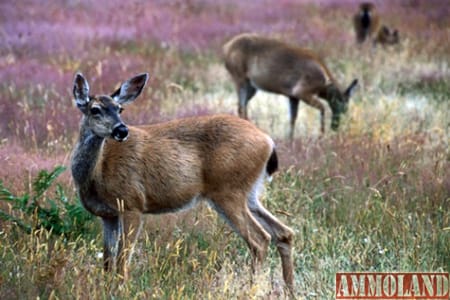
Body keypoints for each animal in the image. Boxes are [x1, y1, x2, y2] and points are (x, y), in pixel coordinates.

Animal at [70, 72, 296, 292]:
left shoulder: (131, 203)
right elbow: (108, 262)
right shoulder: (107, 215)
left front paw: (121, 290)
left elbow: (122, 260)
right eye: (95, 110)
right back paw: (288, 289)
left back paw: (251, 288)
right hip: (249, 194)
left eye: (120, 109)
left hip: (228, 191)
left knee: (260, 240)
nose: (122, 130)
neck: (97, 173)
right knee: (284, 233)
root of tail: (268, 142)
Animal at [222, 33, 358, 139]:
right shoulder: (301, 90)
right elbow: (322, 108)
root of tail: (225, 48)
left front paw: (290, 139)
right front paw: (321, 135)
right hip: (239, 77)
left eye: (345, 109)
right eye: (342, 106)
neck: (322, 85)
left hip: (251, 86)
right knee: (241, 107)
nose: (335, 126)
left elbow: (293, 118)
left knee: (241, 106)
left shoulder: (292, 95)